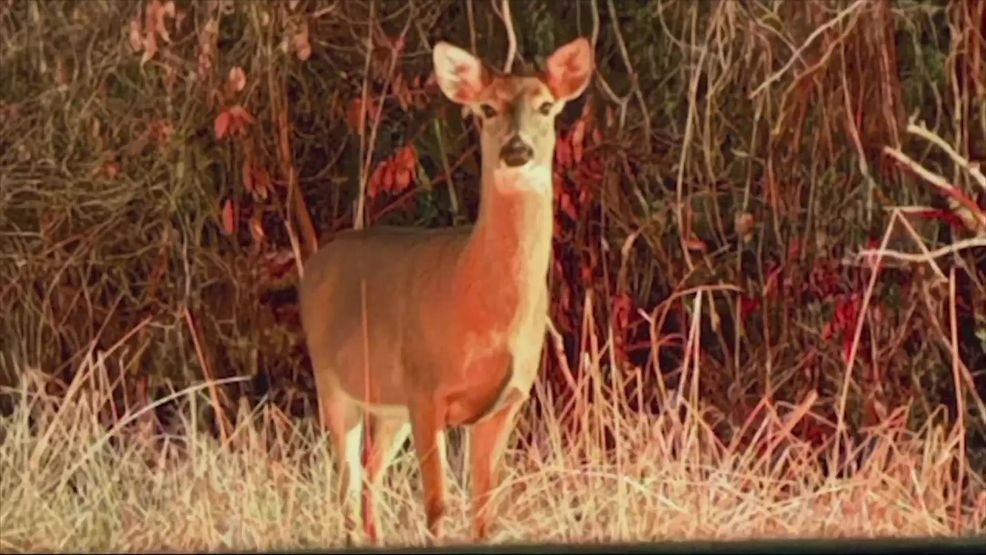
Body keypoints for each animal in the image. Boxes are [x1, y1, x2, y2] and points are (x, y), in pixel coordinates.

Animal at [298, 36, 594, 544]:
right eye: (487, 108)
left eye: (546, 106)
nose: (517, 150)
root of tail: (315, 264)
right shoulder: (425, 387)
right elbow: (437, 507)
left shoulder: (507, 401)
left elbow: (485, 513)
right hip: (334, 385)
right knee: (347, 488)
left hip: (388, 407)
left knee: (370, 477)